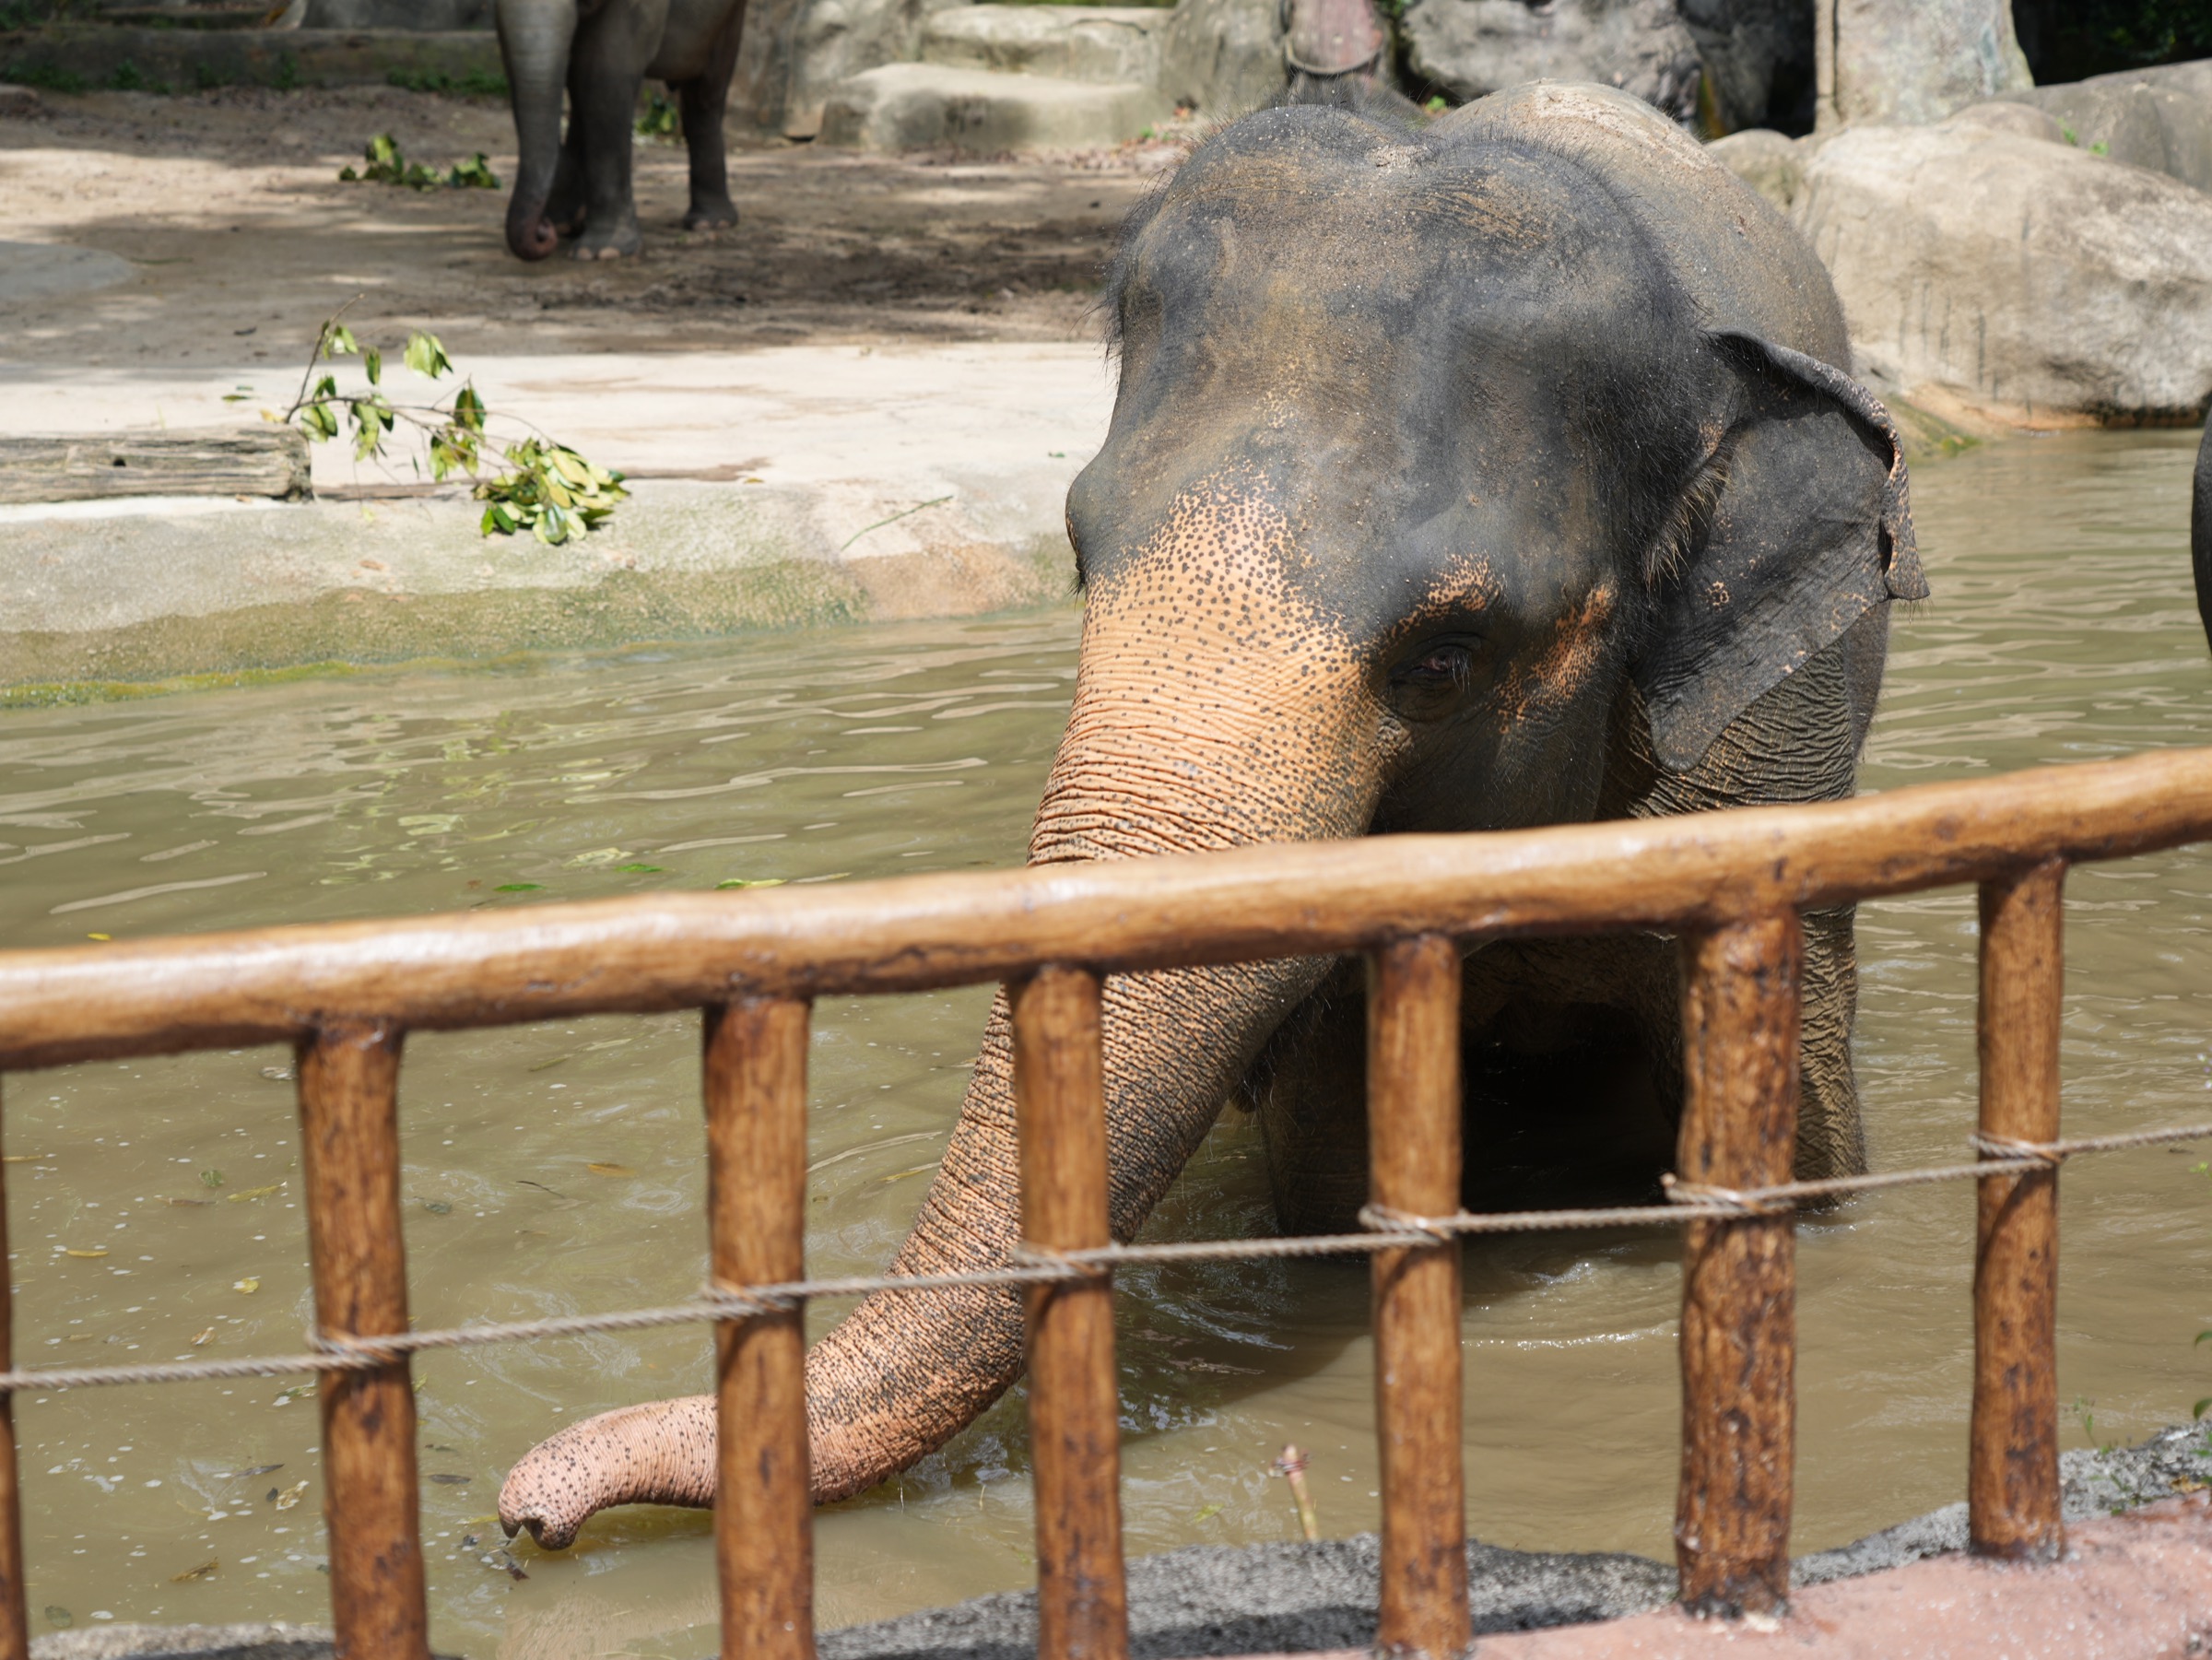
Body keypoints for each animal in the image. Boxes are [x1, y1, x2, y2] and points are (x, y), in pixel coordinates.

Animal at [498, 0, 747, 260]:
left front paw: (603, 252)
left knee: (705, 96)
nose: (542, 231)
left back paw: (710, 223)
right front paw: (569, 220)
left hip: (728, 17)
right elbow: (516, 69)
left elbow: (606, 74)